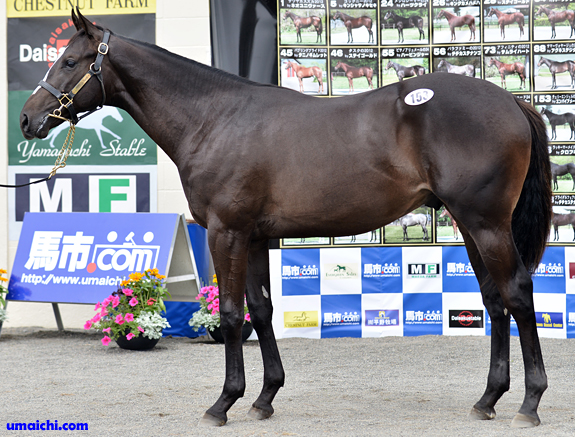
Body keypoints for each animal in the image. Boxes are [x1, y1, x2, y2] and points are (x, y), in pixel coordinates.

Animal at [20, 9, 552, 429]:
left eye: (70, 62)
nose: (27, 119)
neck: (214, 119)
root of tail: (511, 99)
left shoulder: (226, 233)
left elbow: (231, 314)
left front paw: (224, 402)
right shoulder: (255, 238)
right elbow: (261, 310)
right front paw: (264, 397)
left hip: (486, 223)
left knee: (517, 294)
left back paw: (530, 403)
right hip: (471, 226)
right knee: (494, 301)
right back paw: (487, 399)